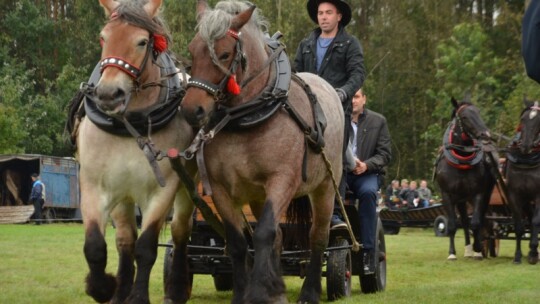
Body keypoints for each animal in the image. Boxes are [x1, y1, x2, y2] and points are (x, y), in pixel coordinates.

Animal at [179, 1, 344, 302]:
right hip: (257, 195)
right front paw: (245, 292)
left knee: (318, 236)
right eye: (192, 49)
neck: (248, 114)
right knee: (278, 236)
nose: (191, 109)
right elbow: (238, 241)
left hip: (326, 185)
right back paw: (276, 289)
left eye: (224, 53)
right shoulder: (219, 187)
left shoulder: (282, 180)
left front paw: (257, 291)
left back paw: (310, 291)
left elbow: (264, 233)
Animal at [436, 98, 496, 260]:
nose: (485, 134)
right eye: (464, 117)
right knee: (463, 221)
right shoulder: (447, 195)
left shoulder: (479, 193)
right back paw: (468, 249)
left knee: (480, 219)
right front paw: (452, 253)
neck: (461, 159)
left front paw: (478, 249)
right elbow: (452, 224)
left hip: (482, 196)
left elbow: (475, 222)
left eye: (478, 112)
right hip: (461, 199)